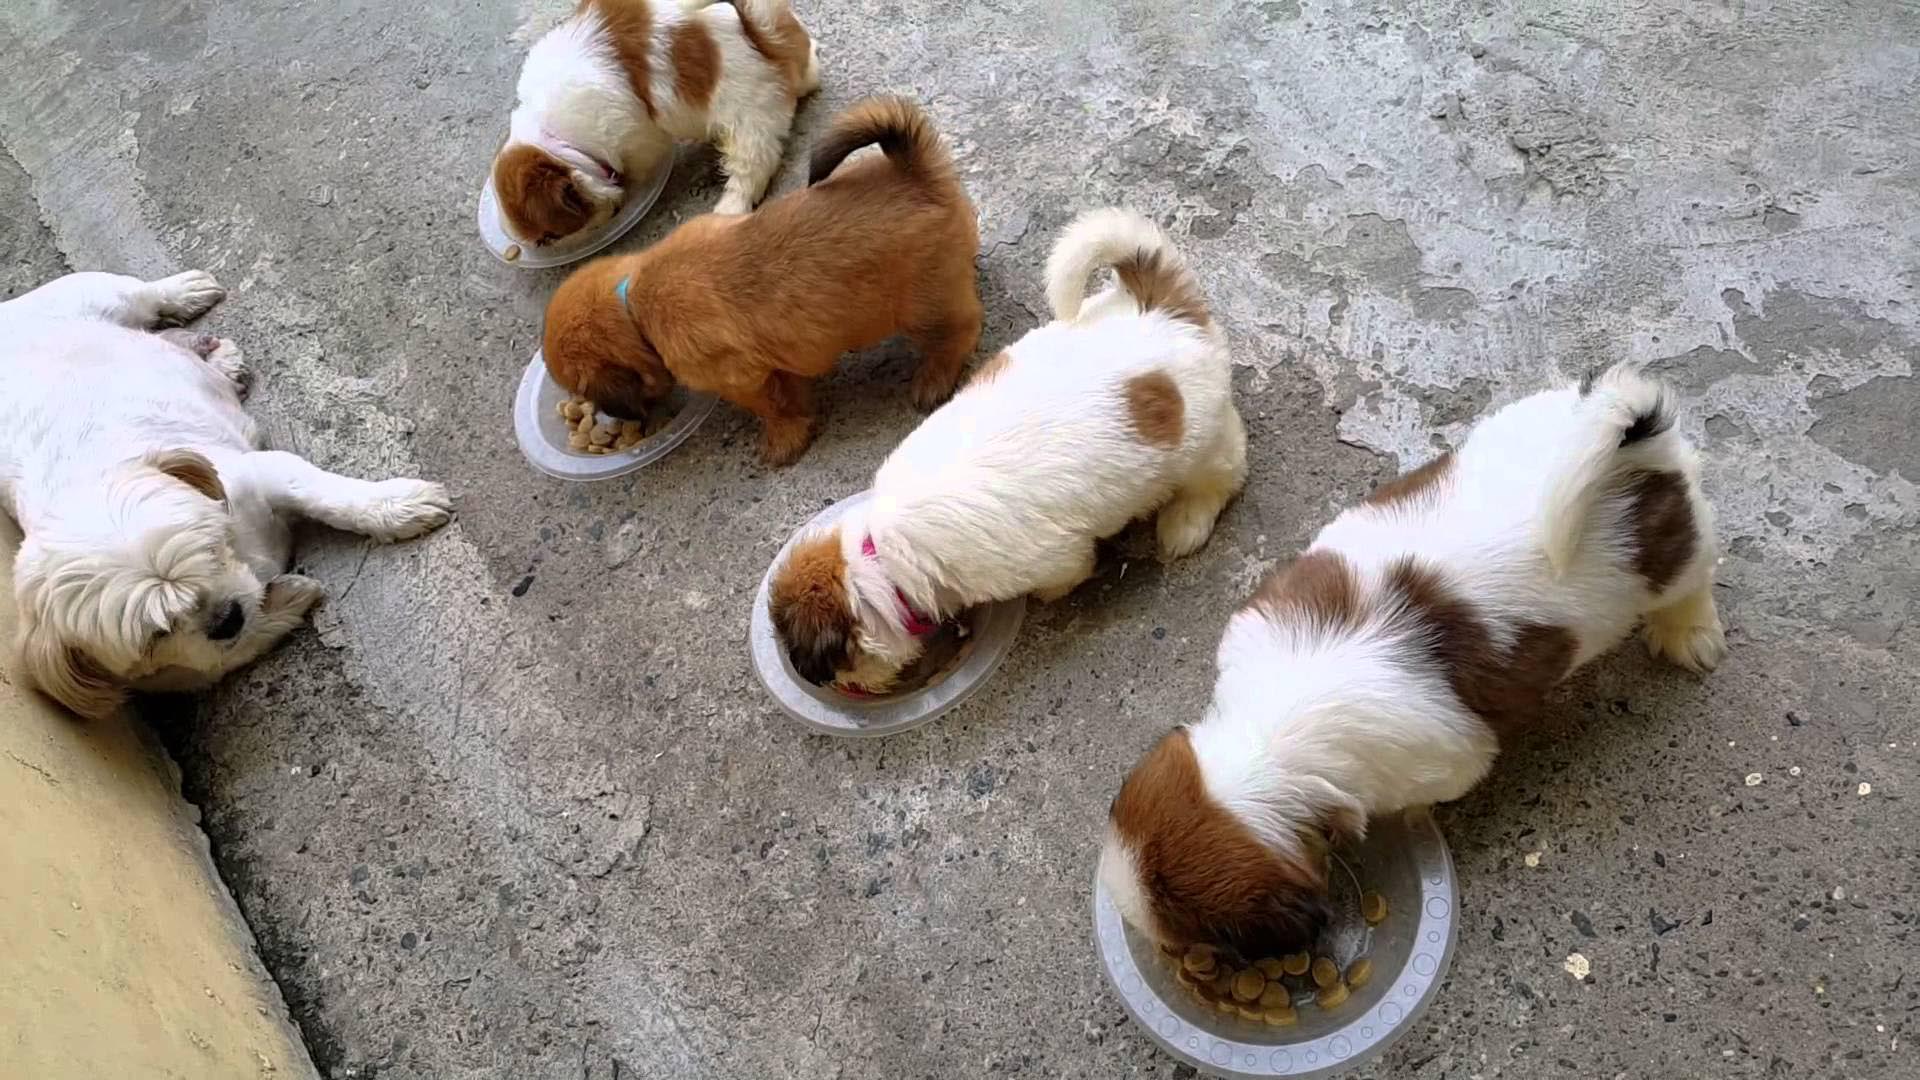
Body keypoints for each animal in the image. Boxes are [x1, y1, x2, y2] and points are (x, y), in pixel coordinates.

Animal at [0, 267, 453, 714]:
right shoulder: (177, 672)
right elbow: (224, 655)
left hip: (95, 293)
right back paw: (217, 360)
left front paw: (396, 506)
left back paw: (187, 296)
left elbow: (325, 493)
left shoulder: (257, 476)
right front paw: (286, 603)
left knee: (145, 296)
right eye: (156, 635)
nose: (226, 618)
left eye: (211, 553)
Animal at [491, 0, 814, 243]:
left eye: (550, 238)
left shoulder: (632, 133)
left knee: (751, 168)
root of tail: (765, 36)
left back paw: (729, 208)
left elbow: (639, 158)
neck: (556, 140)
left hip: (748, 119)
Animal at [545, 94, 983, 461]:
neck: (632, 304)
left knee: (960, 330)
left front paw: (783, 439)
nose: (617, 416)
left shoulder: (743, 379)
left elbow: (770, 407)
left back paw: (934, 377)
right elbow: (790, 389)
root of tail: (917, 174)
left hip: (922, 308)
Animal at [771, 208, 1251, 687]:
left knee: (1223, 473)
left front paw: (1048, 595)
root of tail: (1162, 306)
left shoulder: (1053, 558)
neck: (881, 558)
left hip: (1200, 444)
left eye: (824, 663)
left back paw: (1185, 521)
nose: (820, 680)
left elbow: (1066, 574)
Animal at [1098, 365, 1728, 953]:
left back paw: (1690, 634)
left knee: (1692, 583)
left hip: (1676, 560)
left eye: (1202, 937)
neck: (1272, 735)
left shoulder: (1447, 766)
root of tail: (1637, 446)